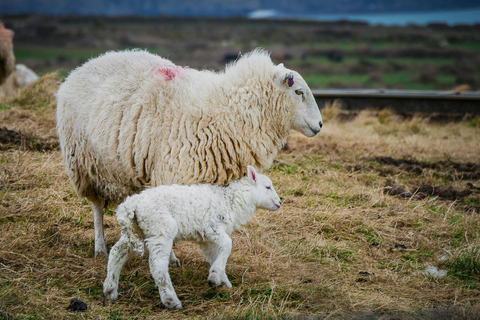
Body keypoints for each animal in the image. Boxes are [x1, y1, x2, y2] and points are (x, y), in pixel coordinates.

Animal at [56, 48, 322, 255]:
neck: (228, 111)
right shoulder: (174, 174)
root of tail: (83, 67)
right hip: (85, 164)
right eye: (298, 91)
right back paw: (100, 246)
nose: (319, 125)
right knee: (97, 208)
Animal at [102, 166, 282, 308]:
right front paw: (215, 276)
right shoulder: (211, 228)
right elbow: (228, 245)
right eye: (267, 187)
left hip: (135, 230)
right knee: (157, 266)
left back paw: (110, 289)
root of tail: (131, 204)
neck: (230, 201)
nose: (279, 203)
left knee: (117, 252)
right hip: (160, 229)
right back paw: (171, 301)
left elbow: (215, 255)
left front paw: (222, 280)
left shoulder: (206, 239)